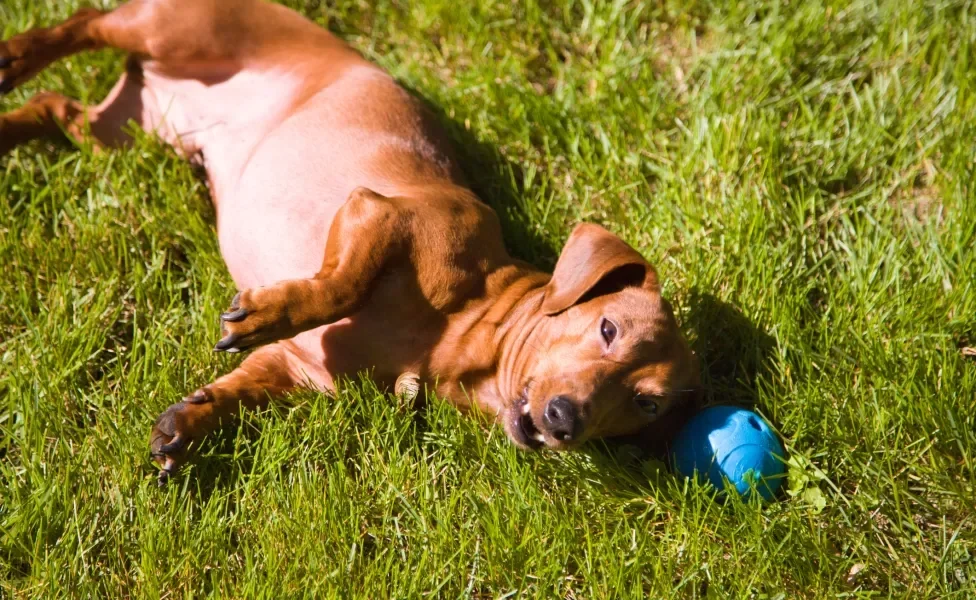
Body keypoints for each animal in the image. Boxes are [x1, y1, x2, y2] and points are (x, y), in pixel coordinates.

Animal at [0, 0, 700, 480]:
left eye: (645, 405)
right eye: (607, 327)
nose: (564, 421)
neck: (456, 336)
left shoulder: (298, 372)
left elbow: (244, 387)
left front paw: (191, 420)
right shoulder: (380, 213)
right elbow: (340, 286)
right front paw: (268, 312)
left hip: (125, 138)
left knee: (53, 107)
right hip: (172, 28)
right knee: (87, 22)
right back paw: (18, 54)